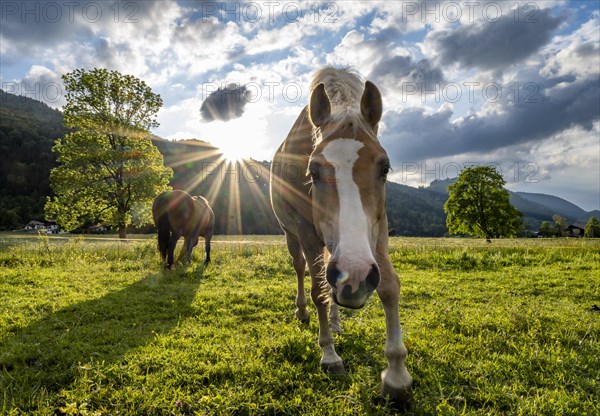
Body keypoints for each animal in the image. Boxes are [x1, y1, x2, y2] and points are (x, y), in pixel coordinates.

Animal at [270, 69, 412, 406]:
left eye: (384, 168)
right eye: (313, 170)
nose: (355, 275)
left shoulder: (378, 231)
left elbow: (389, 287)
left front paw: (396, 374)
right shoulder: (307, 233)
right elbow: (318, 291)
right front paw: (329, 355)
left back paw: (335, 321)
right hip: (292, 236)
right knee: (303, 272)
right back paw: (304, 313)